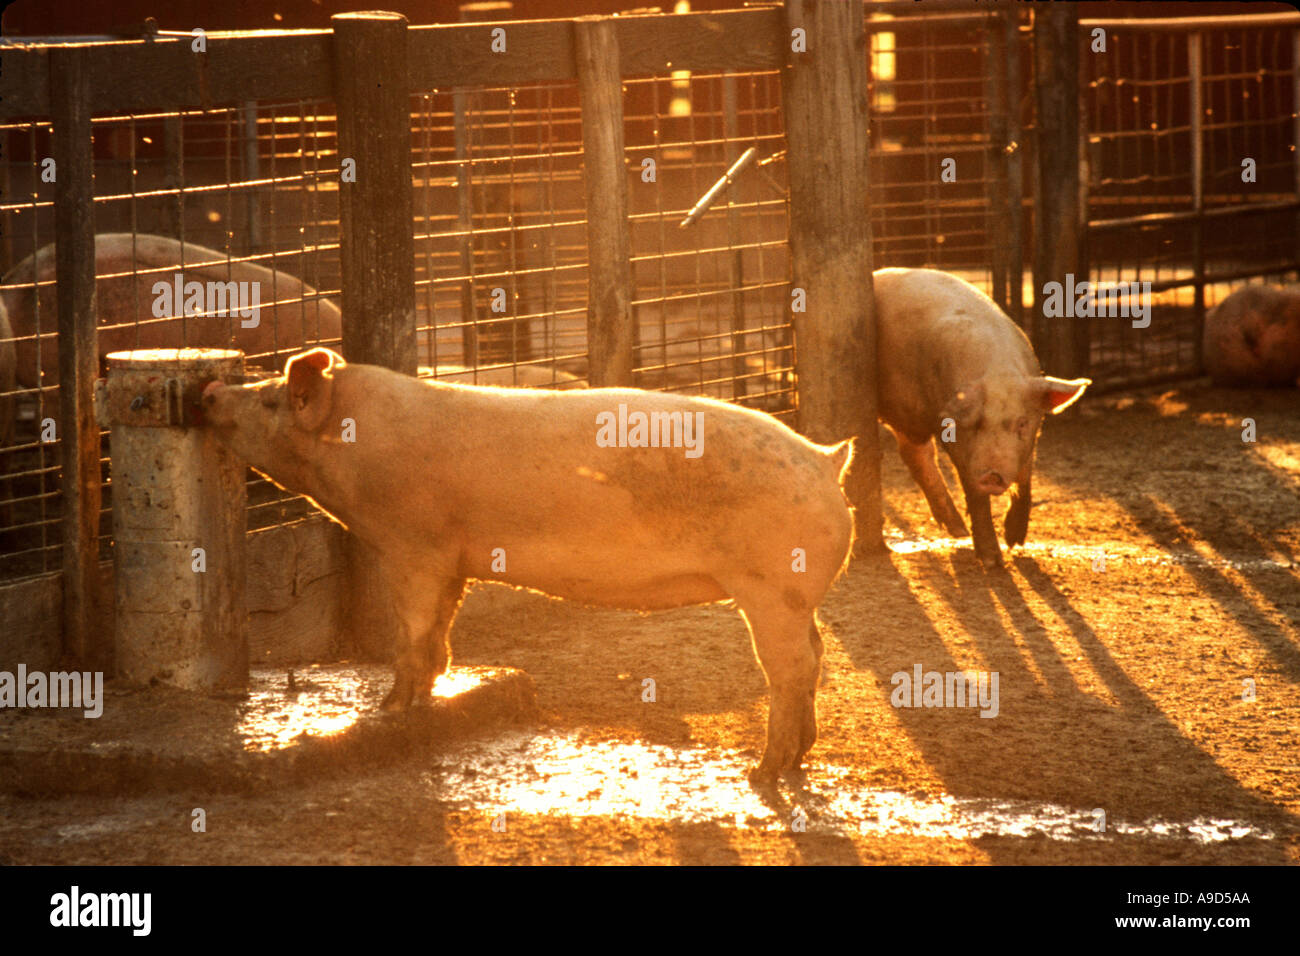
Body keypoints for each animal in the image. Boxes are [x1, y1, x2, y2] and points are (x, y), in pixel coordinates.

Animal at [202, 347, 855, 782]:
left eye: (269, 399)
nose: (207, 391)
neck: (356, 445)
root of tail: (827, 461)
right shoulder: (455, 559)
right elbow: (440, 631)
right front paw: (427, 694)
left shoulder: (413, 545)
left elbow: (411, 631)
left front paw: (389, 709)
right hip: (796, 596)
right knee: (818, 654)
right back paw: (796, 759)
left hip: (771, 588)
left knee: (791, 669)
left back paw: (764, 773)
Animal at [873, 268, 1090, 569]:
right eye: (975, 424)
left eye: (1022, 423)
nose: (991, 475)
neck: (996, 369)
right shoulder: (955, 439)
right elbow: (973, 492)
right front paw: (992, 561)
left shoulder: (1032, 436)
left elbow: (1026, 478)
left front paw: (1015, 541)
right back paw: (961, 532)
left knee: (915, 454)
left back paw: (957, 530)